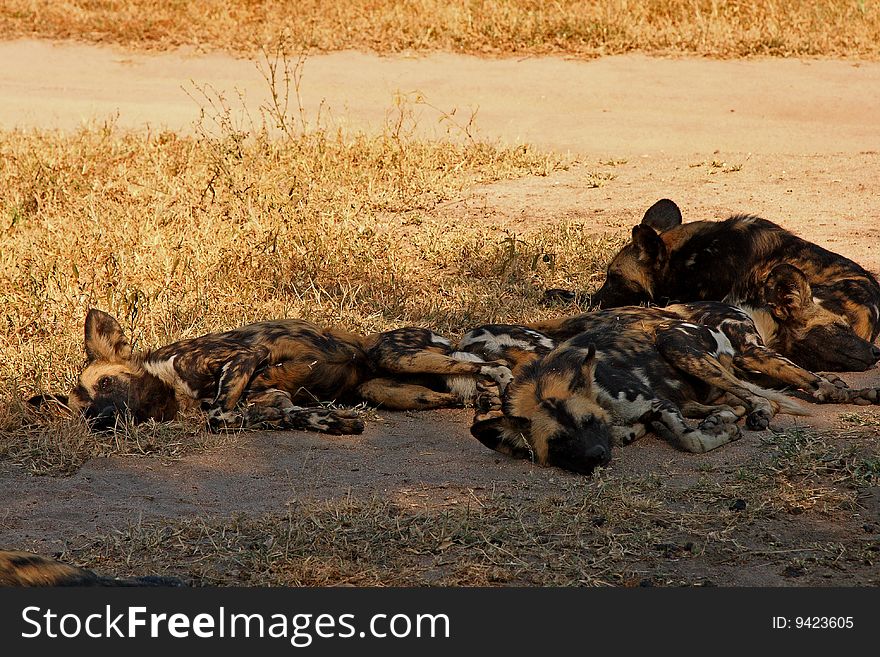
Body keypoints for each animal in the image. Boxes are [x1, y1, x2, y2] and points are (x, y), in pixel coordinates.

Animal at [46, 308, 516, 434]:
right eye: (85, 414)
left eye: (107, 382)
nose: (102, 420)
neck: (173, 388)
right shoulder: (279, 398)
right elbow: (287, 414)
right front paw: (336, 423)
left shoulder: (245, 356)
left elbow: (219, 416)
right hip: (391, 390)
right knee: (461, 389)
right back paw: (487, 402)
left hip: (395, 355)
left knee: (493, 366)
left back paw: (507, 391)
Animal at [460, 300, 880, 474]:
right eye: (559, 442)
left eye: (587, 425)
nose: (597, 456)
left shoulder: (658, 404)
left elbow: (689, 438)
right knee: (741, 400)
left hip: (677, 345)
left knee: (760, 399)